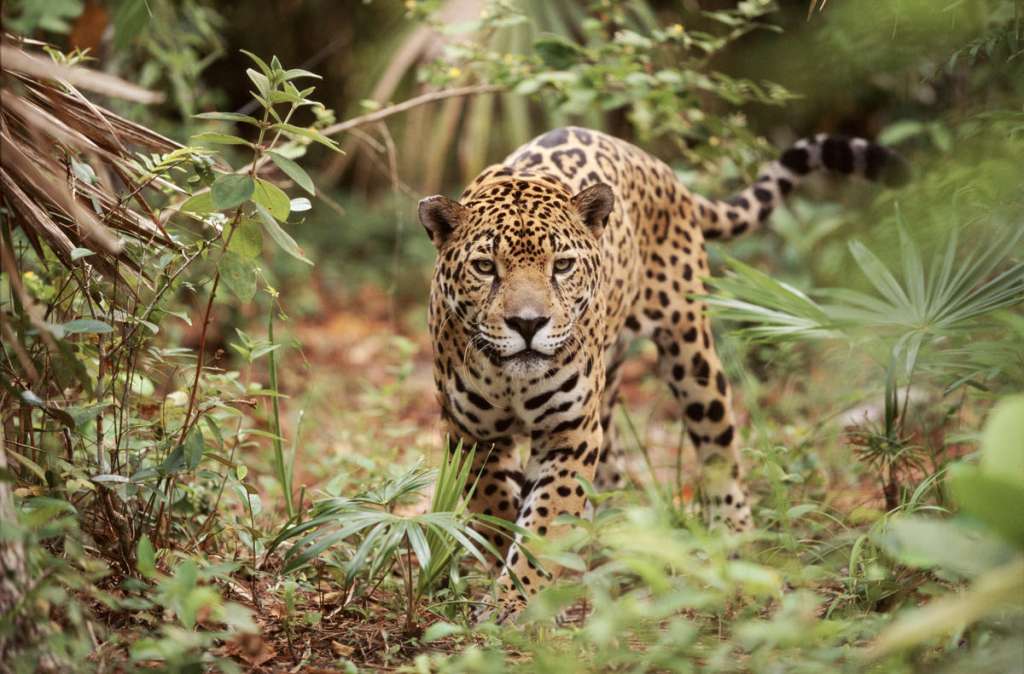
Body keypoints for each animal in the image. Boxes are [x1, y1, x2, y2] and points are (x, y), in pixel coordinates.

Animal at [417, 126, 908, 623]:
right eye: (485, 267)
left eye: (562, 265)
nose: (528, 323)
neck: (513, 380)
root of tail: (658, 167)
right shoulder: (470, 434)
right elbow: (496, 508)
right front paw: (511, 584)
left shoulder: (569, 432)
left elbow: (545, 519)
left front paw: (518, 599)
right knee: (611, 471)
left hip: (691, 351)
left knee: (719, 445)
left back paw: (732, 542)